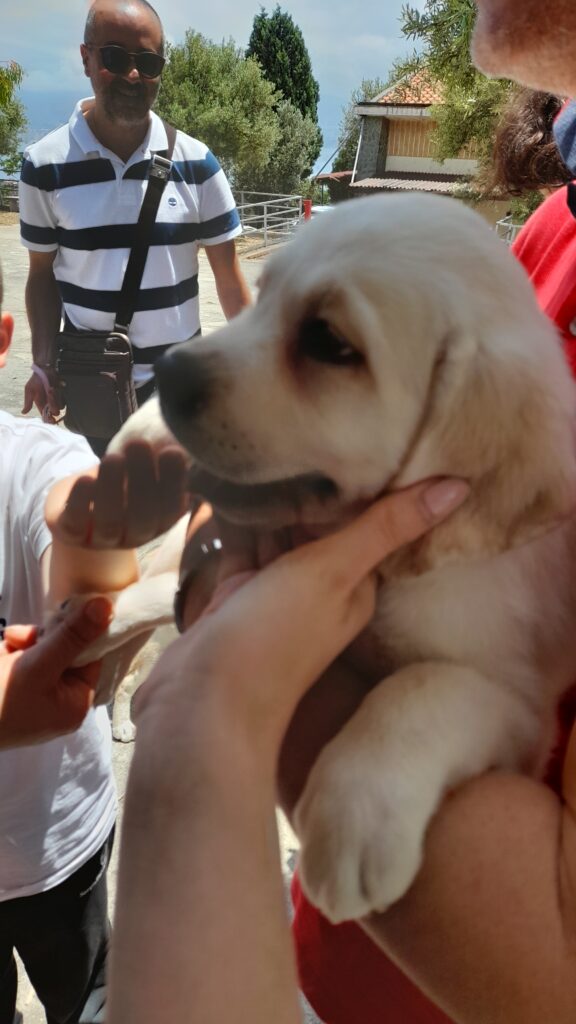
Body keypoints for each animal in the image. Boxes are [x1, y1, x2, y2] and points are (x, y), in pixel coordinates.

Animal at [97, 192, 573, 921]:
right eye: (263, 296)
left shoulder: (522, 708)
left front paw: (355, 816)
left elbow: (424, 687)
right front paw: (142, 432)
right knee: (122, 613)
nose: (170, 372)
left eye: (328, 343)